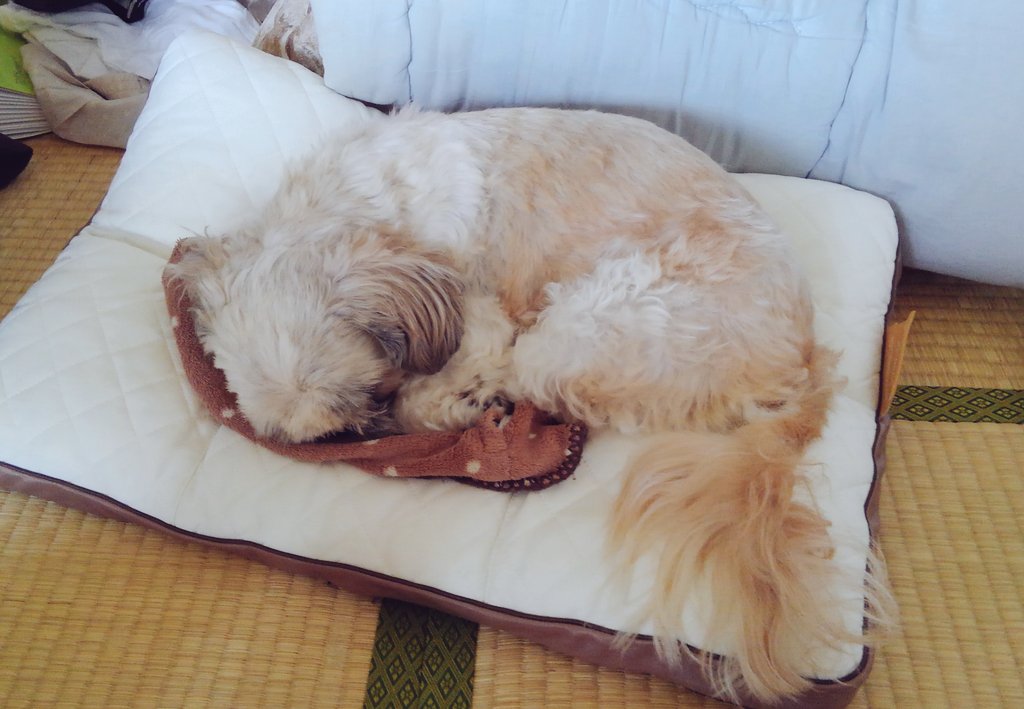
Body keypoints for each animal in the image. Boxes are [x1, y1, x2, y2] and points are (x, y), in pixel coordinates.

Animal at [167, 106, 891, 703]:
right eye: (336, 429)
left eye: (376, 390)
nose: (369, 424)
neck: (361, 208)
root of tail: (802, 362)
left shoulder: (479, 320)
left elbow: (449, 378)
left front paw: (445, 402)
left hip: (584, 327)